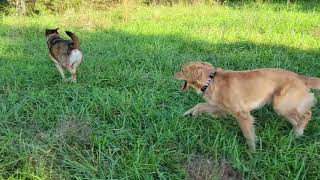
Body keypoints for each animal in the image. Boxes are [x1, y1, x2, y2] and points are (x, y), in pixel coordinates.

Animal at [176, 61, 318, 151]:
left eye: (182, 70)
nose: (173, 73)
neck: (210, 80)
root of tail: (300, 77)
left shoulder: (242, 114)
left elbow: (248, 134)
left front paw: (252, 152)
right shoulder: (220, 107)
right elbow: (200, 105)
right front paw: (189, 113)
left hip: (281, 104)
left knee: (307, 114)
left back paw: (298, 132)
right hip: (282, 106)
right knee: (297, 118)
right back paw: (296, 131)